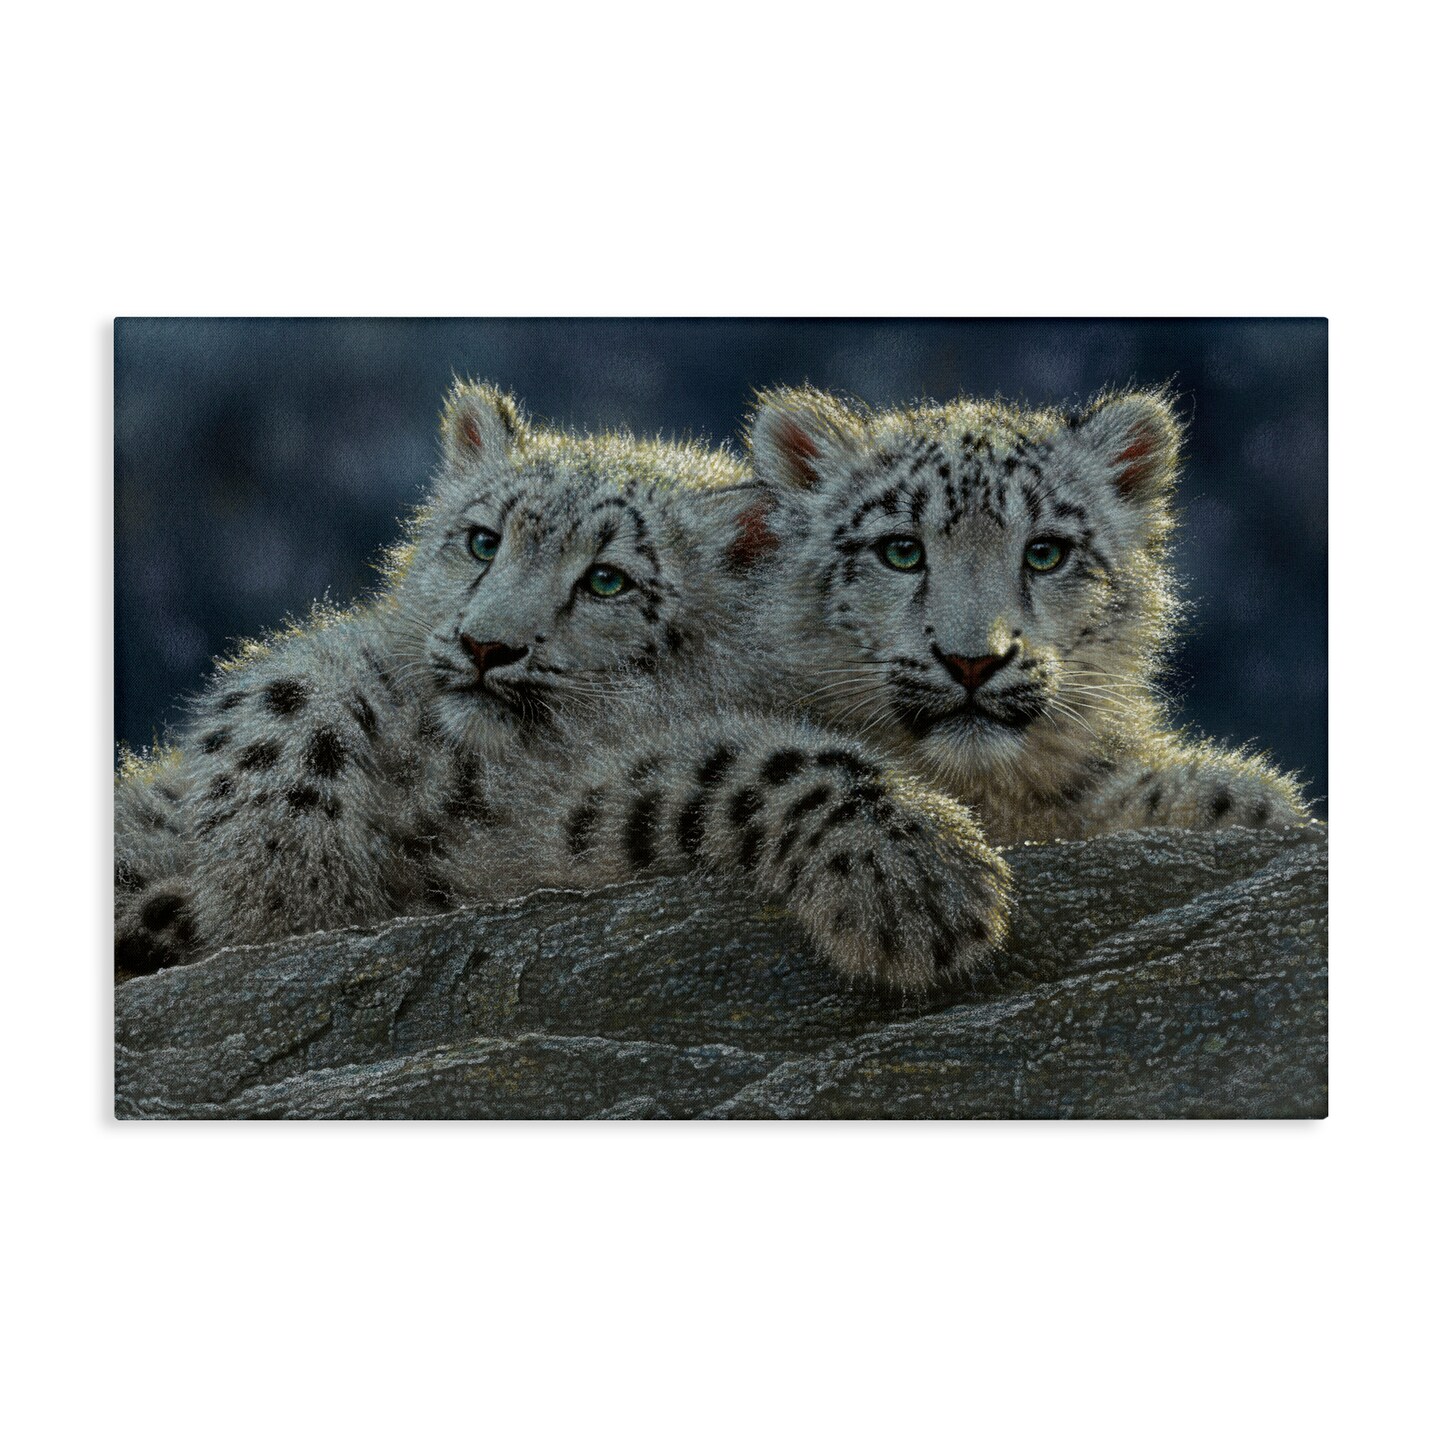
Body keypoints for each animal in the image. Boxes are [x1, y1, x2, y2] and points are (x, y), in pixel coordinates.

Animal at [114, 381, 1011, 993]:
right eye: (482, 540)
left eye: (608, 580)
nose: (485, 645)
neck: (464, 774)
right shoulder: (353, 665)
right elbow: (286, 693)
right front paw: (281, 881)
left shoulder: (541, 831)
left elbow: (749, 761)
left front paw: (927, 875)